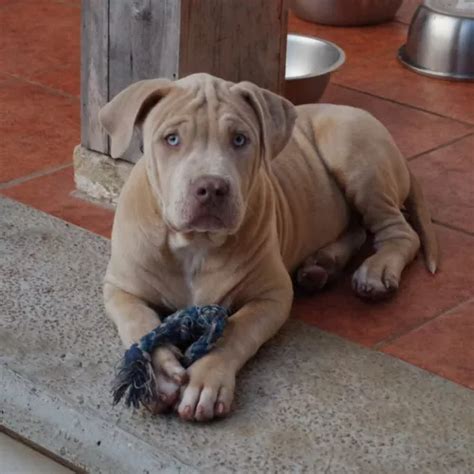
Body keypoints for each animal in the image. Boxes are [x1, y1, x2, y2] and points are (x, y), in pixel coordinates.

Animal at [100, 74, 436, 422]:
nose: (211, 188)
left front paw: (206, 379)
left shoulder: (272, 296)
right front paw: (156, 374)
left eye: (239, 140)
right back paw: (322, 265)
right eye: (172, 139)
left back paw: (376, 271)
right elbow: (139, 322)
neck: (196, 243)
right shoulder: (120, 288)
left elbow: (235, 330)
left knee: (399, 232)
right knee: (358, 229)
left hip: (356, 157)